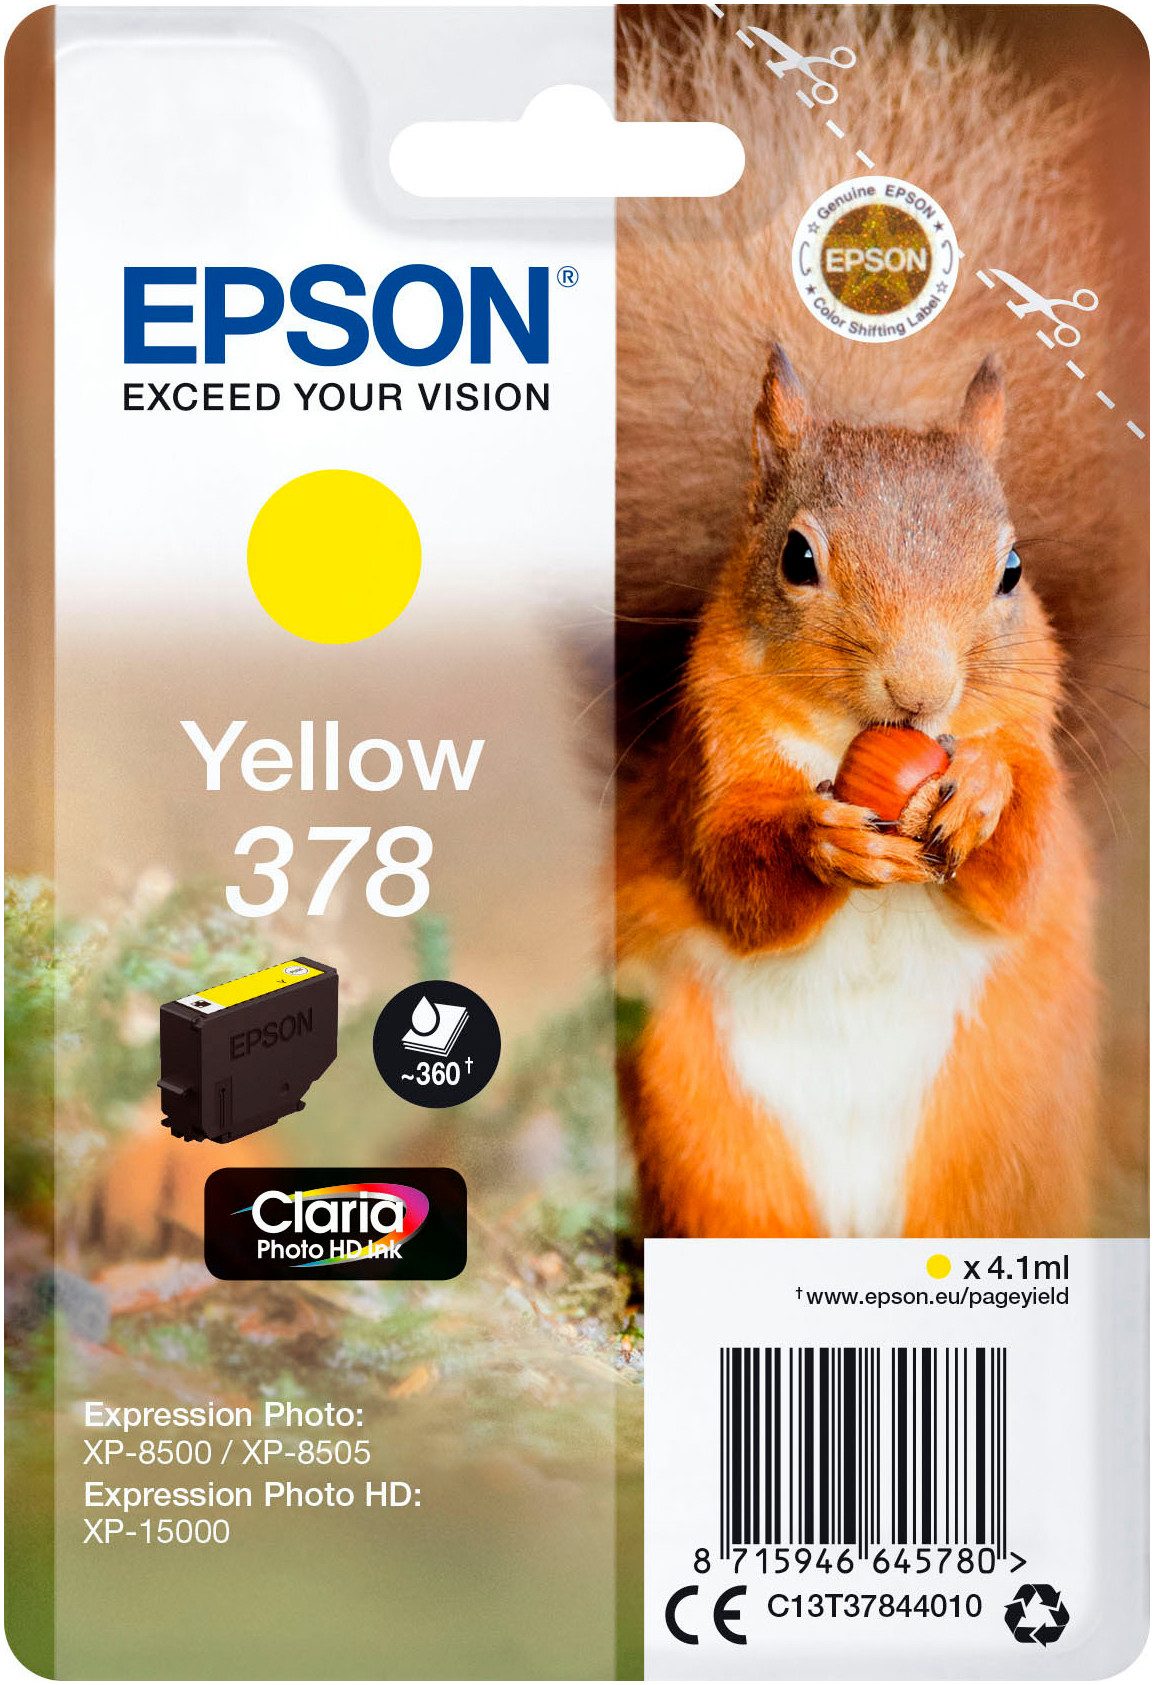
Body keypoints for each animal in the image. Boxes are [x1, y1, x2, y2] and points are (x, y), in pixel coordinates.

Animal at [612, 6, 1142, 1238]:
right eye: (796, 557)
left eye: (1010, 569)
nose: (921, 692)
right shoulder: (708, 759)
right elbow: (732, 875)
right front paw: (824, 839)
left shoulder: (1034, 747)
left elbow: (1022, 865)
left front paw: (981, 793)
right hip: (710, 1137)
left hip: (998, 1141)